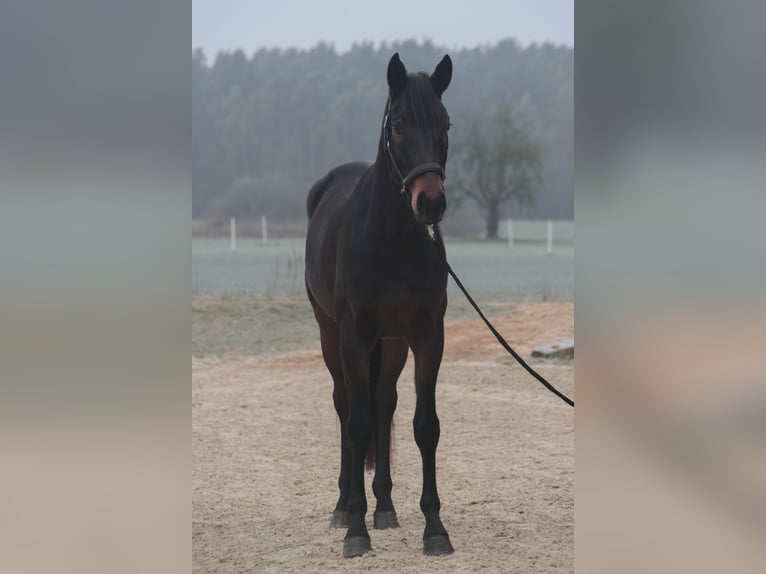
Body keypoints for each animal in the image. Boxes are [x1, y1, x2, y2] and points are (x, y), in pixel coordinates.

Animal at [306, 54, 456, 560]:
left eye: (445, 124)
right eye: (398, 126)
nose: (430, 203)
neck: (393, 240)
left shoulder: (427, 335)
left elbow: (424, 425)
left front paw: (435, 528)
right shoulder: (355, 335)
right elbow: (356, 424)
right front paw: (355, 530)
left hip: (391, 344)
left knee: (383, 404)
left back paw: (385, 507)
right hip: (331, 335)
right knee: (346, 404)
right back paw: (344, 506)